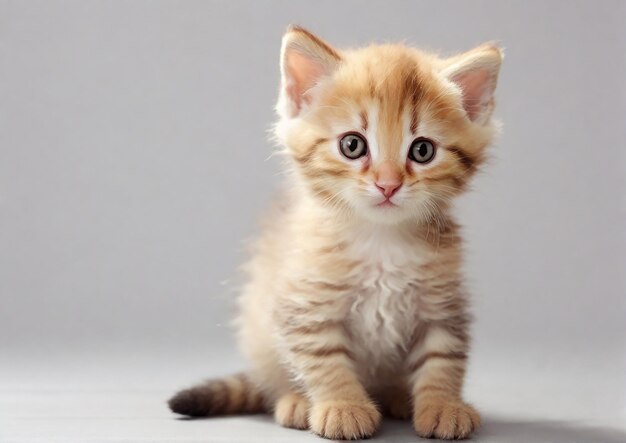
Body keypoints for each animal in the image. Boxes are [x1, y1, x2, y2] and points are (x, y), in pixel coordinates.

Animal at [169, 27, 502, 440]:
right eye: (352, 145)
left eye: (422, 150)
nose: (388, 185)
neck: (381, 239)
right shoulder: (307, 303)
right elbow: (324, 360)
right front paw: (343, 407)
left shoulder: (441, 305)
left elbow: (443, 358)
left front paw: (442, 405)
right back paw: (295, 402)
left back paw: (397, 397)